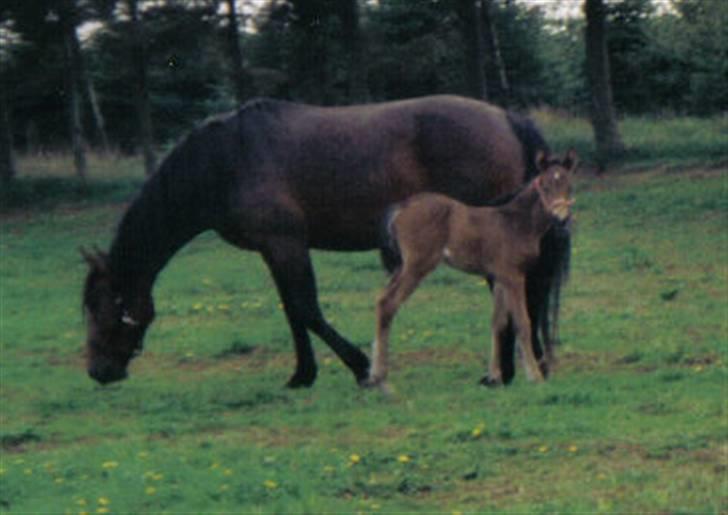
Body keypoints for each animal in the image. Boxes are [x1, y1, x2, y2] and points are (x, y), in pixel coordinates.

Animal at [366, 151, 576, 390]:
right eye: (546, 186)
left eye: (569, 186)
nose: (562, 220)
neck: (516, 223)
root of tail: (402, 207)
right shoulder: (514, 276)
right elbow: (522, 322)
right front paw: (534, 376)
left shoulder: (499, 277)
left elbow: (498, 322)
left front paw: (494, 376)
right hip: (417, 266)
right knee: (389, 303)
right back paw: (379, 376)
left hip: (402, 266)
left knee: (381, 299)